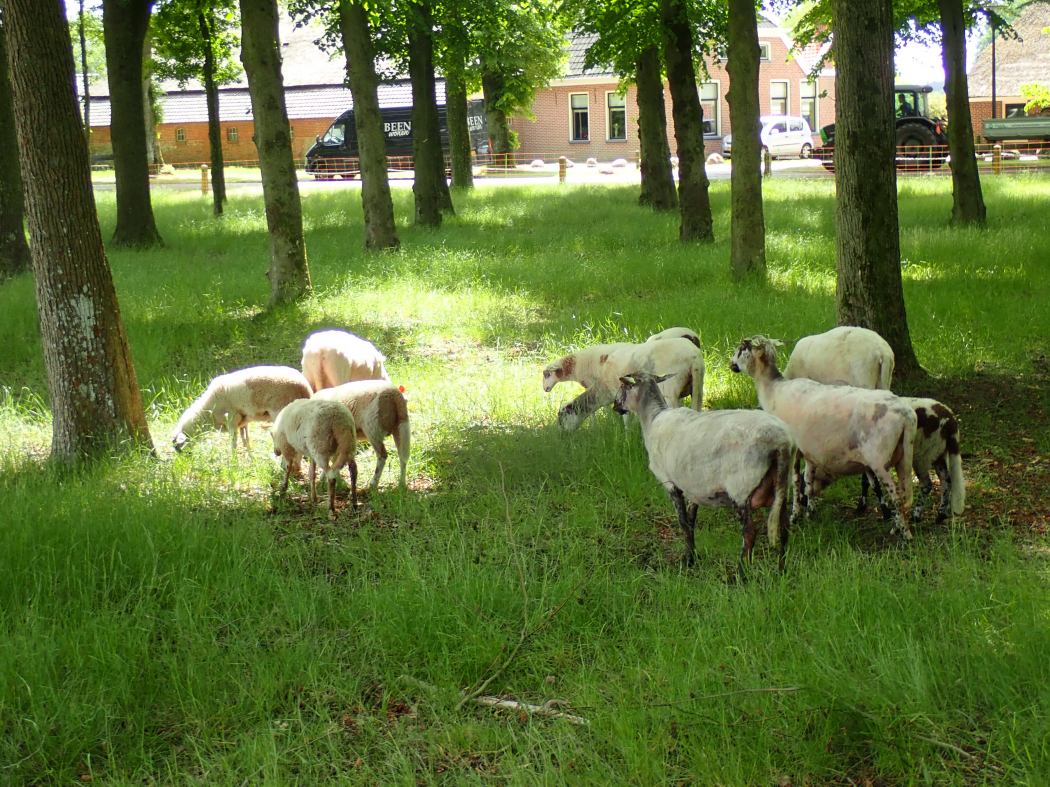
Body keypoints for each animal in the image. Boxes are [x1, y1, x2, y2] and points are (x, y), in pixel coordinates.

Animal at [171, 365, 310, 453]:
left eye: (178, 446)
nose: (184, 460)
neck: (208, 413)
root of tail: (304, 386)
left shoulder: (232, 421)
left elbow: (234, 444)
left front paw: (234, 464)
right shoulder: (243, 422)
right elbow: (246, 442)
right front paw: (252, 461)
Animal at [558, 333, 705, 432]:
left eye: (562, 417)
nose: (563, 437)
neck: (603, 388)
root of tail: (694, 357)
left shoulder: (619, 392)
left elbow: (626, 419)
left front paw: (627, 436)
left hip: (671, 390)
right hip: (698, 387)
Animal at [609, 373, 793, 570]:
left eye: (623, 386)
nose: (615, 405)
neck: (652, 418)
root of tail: (781, 442)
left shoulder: (671, 483)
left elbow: (683, 522)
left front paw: (687, 561)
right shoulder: (693, 487)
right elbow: (691, 520)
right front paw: (692, 556)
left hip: (741, 488)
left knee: (750, 532)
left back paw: (741, 574)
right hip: (781, 485)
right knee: (784, 526)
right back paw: (782, 570)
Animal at [730, 335, 919, 541]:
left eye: (742, 348)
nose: (730, 363)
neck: (773, 390)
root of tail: (907, 416)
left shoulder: (793, 449)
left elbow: (794, 481)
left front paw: (795, 515)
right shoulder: (810, 450)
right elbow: (808, 480)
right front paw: (810, 511)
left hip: (880, 459)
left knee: (897, 497)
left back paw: (906, 535)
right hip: (903, 456)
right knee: (905, 492)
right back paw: (897, 527)